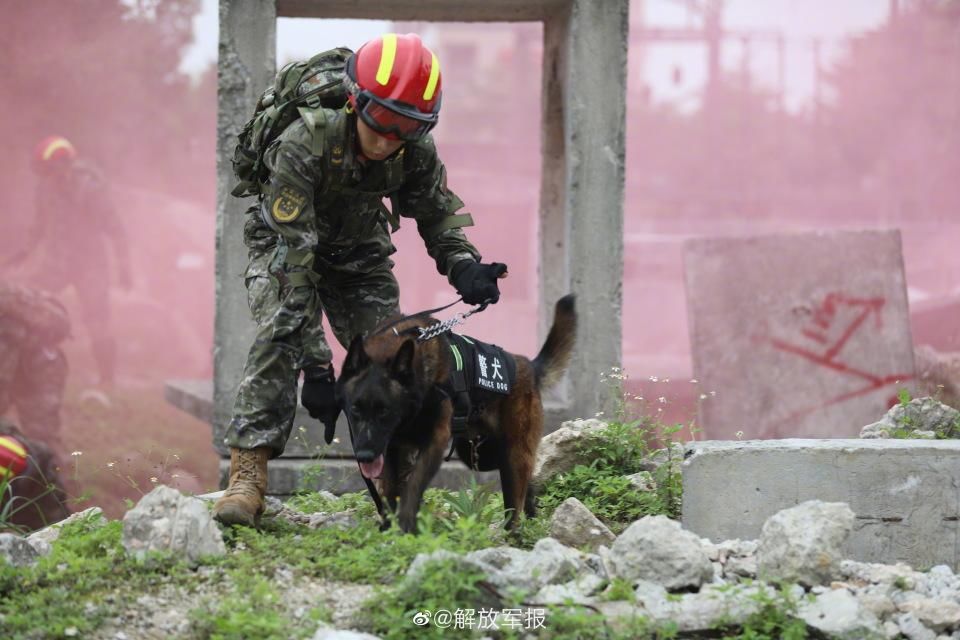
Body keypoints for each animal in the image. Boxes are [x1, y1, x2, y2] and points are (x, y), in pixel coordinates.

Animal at [340, 296, 576, 528]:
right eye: (355, 409)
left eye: (384, 411)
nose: (364, 456)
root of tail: (529, 366)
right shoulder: (391, 448)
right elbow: (390, 491)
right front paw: (388, 527)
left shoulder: (434, 441)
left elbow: (413, 485)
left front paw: (405, 525)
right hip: (486, 456)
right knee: (527, 482)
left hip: (512, 454)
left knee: (515, 502)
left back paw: (515, 533)